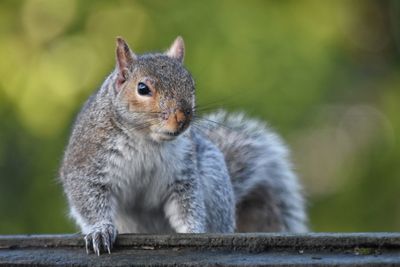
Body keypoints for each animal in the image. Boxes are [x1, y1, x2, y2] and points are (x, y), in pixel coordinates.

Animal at [59, 36, 308, 256]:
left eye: (192, 85)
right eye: (142, 88)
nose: (183, 117)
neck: (147, 140)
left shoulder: (182, 172)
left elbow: (187, 205)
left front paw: (194, 232)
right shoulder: (87, 164)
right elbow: (90, 202)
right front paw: (100, 231)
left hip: (214, 176)